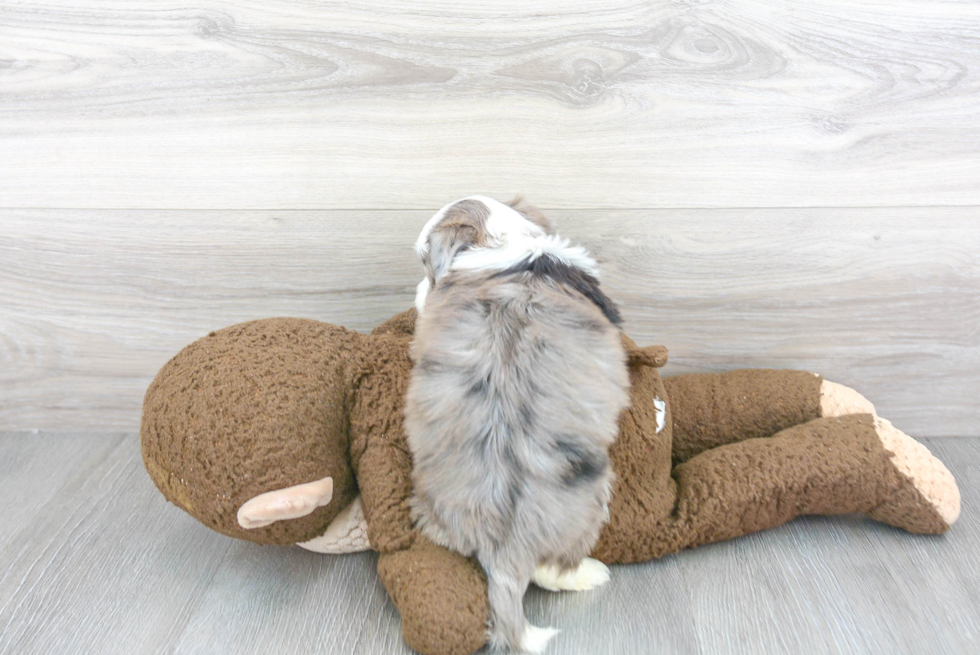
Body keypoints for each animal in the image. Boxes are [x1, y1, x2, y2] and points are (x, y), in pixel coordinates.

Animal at [404, 197, 628, 652]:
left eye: (424, 264)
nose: (418, 292)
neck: (504, 243)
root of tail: (503, 548)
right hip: (592, 498)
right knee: (551, 570)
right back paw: (591, 573)